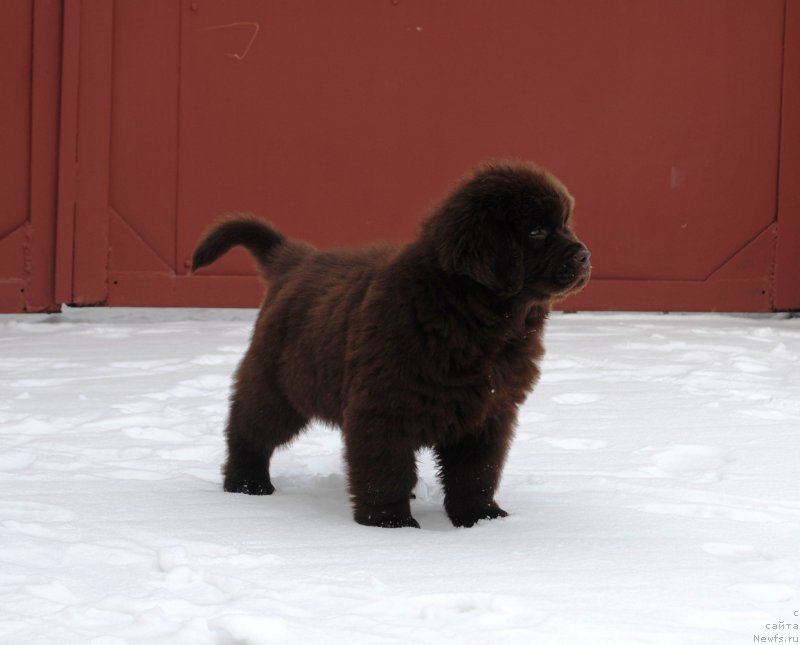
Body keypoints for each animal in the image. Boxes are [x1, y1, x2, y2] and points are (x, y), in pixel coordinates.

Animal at [191, 162, 592, 528]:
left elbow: (476, 472)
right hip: (280, 387)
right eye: (536, 230)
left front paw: (480, 519)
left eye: (565, 224)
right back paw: (247, 485)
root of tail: (293, 260)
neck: (470, 315)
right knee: (248, 428)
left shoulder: (489, 412)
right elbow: (387, 472)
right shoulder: (384, 406)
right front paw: (390, 525)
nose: (584, 255)